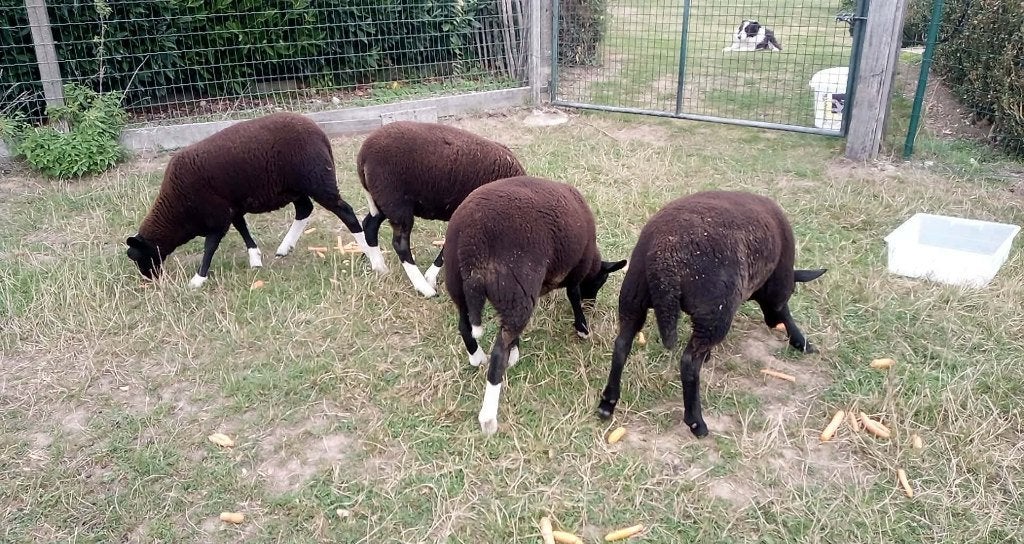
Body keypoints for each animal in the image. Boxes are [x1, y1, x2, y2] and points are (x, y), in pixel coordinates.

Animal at [126, 112, 386, 287]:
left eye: (139, 257)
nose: (150, 279)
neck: (177, 211)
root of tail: (320, 133)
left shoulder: (217, 215)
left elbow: (210, 246)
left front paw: (198, 279)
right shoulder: (231, 207)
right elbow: (242, 228)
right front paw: (255, 258)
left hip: (317, 180)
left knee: (346, 212)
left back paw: (369, 253)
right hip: (295, 186)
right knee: (304, 209)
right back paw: (285, 247)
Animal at [356, 120, 526, 298]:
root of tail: (363, 156)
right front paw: (431, 278)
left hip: (383, 201)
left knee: (369, 225)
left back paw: (380, 267)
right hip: (396, 202)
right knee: (400, 244)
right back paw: (424, 288)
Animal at [444, 175, 627, 435]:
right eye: (601, 280)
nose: (592, 304)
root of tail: (473, 241)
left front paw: (516, 347)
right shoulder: (577, 269)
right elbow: (573, 294)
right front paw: (582, 327)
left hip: (458, 283)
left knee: (466, 326)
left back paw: (478, 357)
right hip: (517, 288)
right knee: (498, 353)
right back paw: (488, 417)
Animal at [596, 190, 826, 438]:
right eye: (792, 291)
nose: (771, 323)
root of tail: (664, 256)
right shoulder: (778, 284)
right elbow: (785, 310)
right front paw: (802, 341)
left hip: (634, 296)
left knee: (621, 346)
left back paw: (607, 403)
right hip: (713, 311)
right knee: (688, 363)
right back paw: (696, 422)